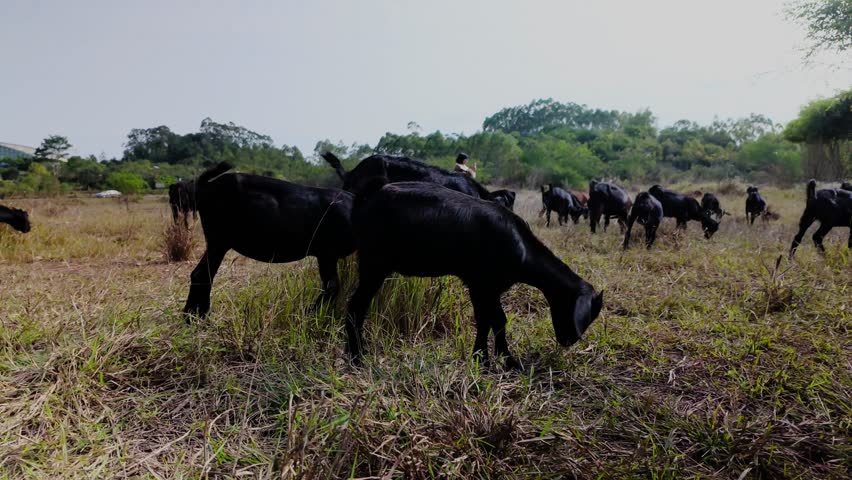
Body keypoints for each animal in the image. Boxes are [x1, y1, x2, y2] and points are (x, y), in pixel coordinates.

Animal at [183, 162, 356, 318]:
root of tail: (204, 187)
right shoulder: (327, 253)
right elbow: (332, 286)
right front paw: (307, 315)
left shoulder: (328, 255)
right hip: (219, 241)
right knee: (202, 274)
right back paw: (196, 316)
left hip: (217, 242)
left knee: (202, 273)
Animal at [345, 181, 603, 369]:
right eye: (583, 314)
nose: (568, 340)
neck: (522, 249)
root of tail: (364, 204)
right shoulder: (482, 283)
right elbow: (493, 320)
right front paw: (499, 361)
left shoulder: (486, 287)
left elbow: (488, 320)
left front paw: (487, 359)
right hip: (374, 262)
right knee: (356, 306)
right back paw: (357, 358)